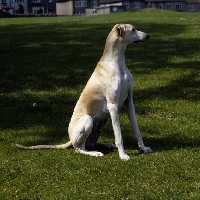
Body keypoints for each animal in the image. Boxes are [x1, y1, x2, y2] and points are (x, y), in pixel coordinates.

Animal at [16, 23, 152, 161]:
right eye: (133, 29)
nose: (148, 35)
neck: (116, 63)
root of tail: (70, 139)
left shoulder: (128, 101)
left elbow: (137, 130)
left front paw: (143, 148)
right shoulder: (113, 105)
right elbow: (118, 135)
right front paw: (123, 155)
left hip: (103, 122)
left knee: (90, 143)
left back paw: (106, 145)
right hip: (88, 119)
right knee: (79, 149)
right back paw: (95, 153)